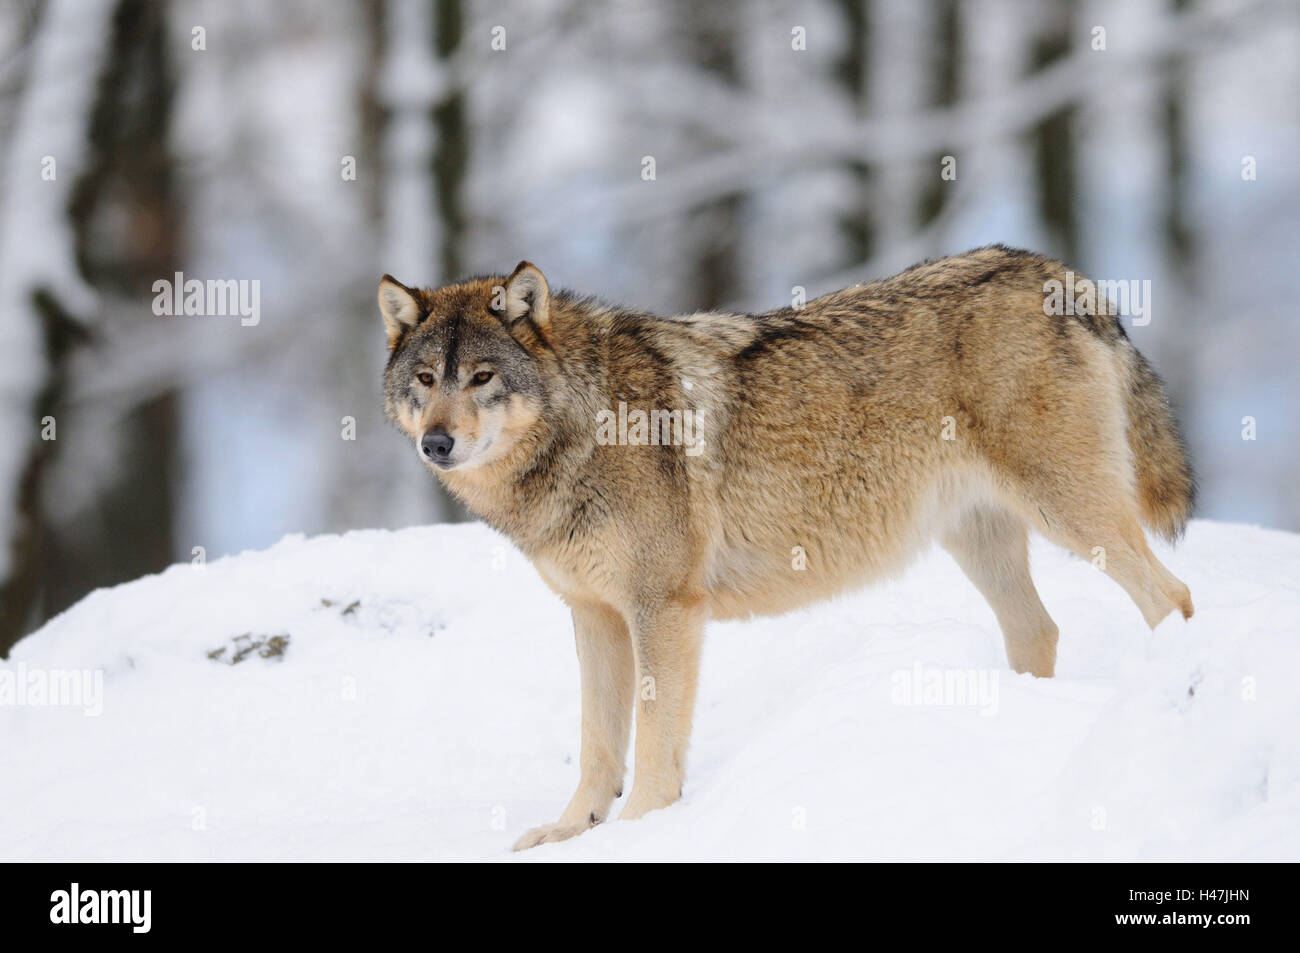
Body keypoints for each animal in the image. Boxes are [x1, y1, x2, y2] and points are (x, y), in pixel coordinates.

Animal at [377, 243, 1196, 847]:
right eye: (426, 378)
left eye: (482, 377)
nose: (436, 444)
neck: (583, 428)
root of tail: (1055, 270)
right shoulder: (595, 613)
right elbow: (597, 742)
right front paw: (571, 832)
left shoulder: (664, 609)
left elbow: (653, 739)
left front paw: (642, 830)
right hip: (983, 544)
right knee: (1041, 631)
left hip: (1073, 516)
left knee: (1174, 596)